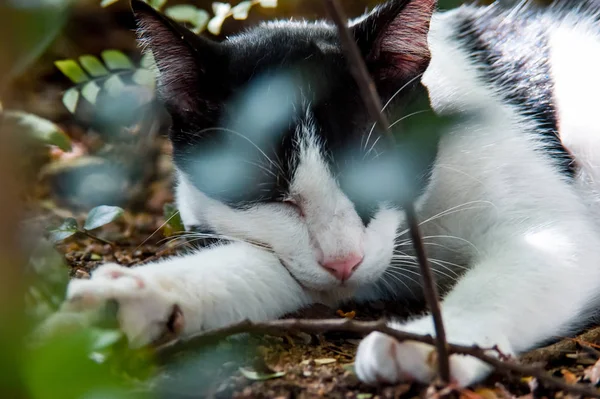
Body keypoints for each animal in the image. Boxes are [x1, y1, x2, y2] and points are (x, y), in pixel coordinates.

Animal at [59, 0, 600, 388]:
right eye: (269, 191)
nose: (343, 260)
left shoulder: (553, 229)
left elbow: (531, 259)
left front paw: (432, 342)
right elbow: (267, 268)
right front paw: (138, 296)